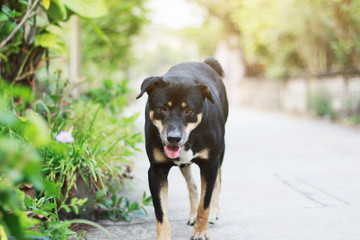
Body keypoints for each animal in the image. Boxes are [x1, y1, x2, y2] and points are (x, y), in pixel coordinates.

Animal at [136, 58, 228, 240]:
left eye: (189, 110)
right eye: (162, 108)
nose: (173, 138)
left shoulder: (210, 164)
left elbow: (204, 204)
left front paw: (201, 231)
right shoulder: (156, 171)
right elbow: (161, 213)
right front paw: (164, 237)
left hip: (220, 153)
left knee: (217, 183)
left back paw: (214, 212)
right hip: (184, 164)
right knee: (192, 185)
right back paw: (192, 215)